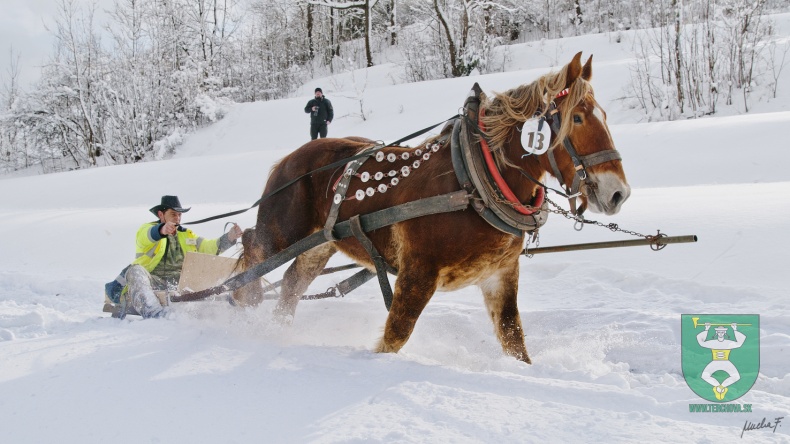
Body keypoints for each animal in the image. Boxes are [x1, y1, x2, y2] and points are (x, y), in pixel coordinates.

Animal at [234, 53, 632, 364]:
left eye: (603, 115)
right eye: (577, 118)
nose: (619, 193)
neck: (474, 179)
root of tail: (290, 157)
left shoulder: (500, 274)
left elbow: (513, 339)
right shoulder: (418, 272)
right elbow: (396, 334)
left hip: (322, 242)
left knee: (292, 281)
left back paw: (277, 327)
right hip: (282, 231)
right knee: (254, 248)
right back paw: (243, 302)